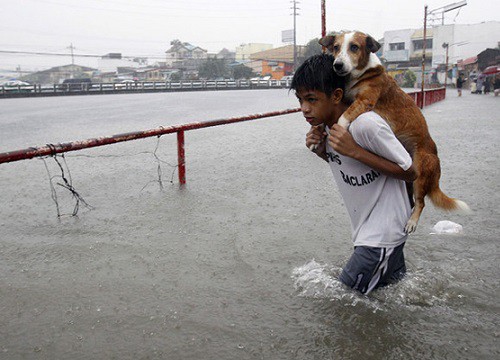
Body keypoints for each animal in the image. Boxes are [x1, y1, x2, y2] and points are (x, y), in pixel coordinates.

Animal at [320, 31, 468, 233]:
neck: (361, 74)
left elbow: (343, 117)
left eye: (354, 47)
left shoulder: (365, 100)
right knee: (412, 199)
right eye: (336, 47)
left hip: (420, 173)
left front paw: (339, 130)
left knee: (421, 202)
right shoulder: (348, 98)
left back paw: (412, 222)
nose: (337, 65)